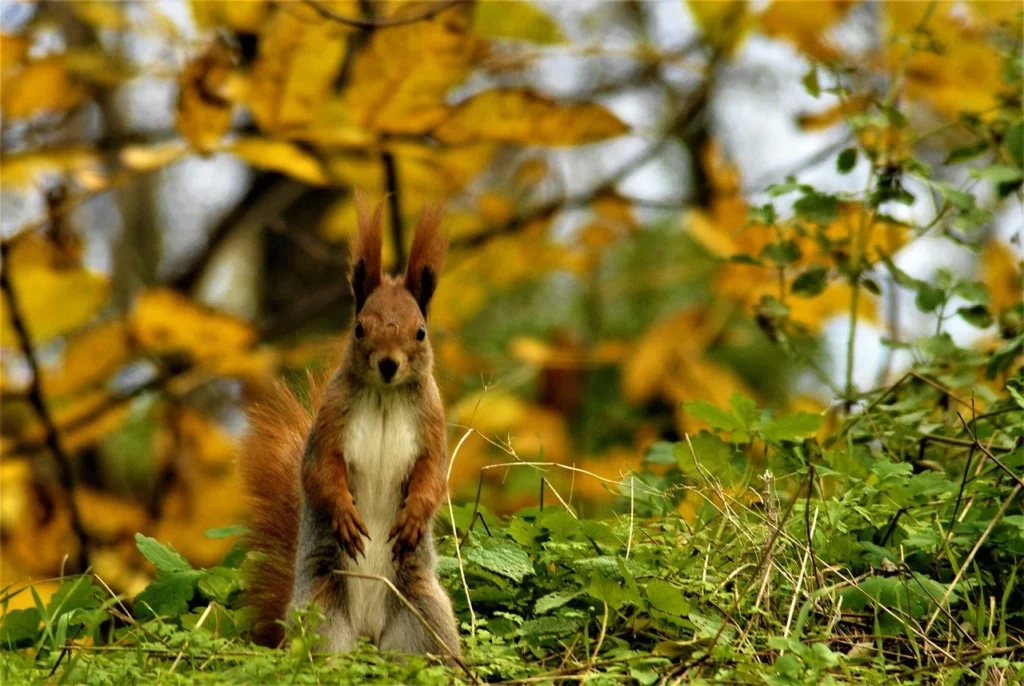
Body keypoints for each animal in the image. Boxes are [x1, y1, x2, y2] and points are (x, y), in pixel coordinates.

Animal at [237, 193, 458, 659]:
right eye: (359, 328)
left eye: (421, 332)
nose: (389, 364)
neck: (385, 396)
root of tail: (369, 635)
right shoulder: (329, 422)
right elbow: (319, 472)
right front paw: (344, 515)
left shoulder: (433, 423)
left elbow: (433, 475)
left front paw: (414, 516)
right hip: (322, 616)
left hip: (423, 614)